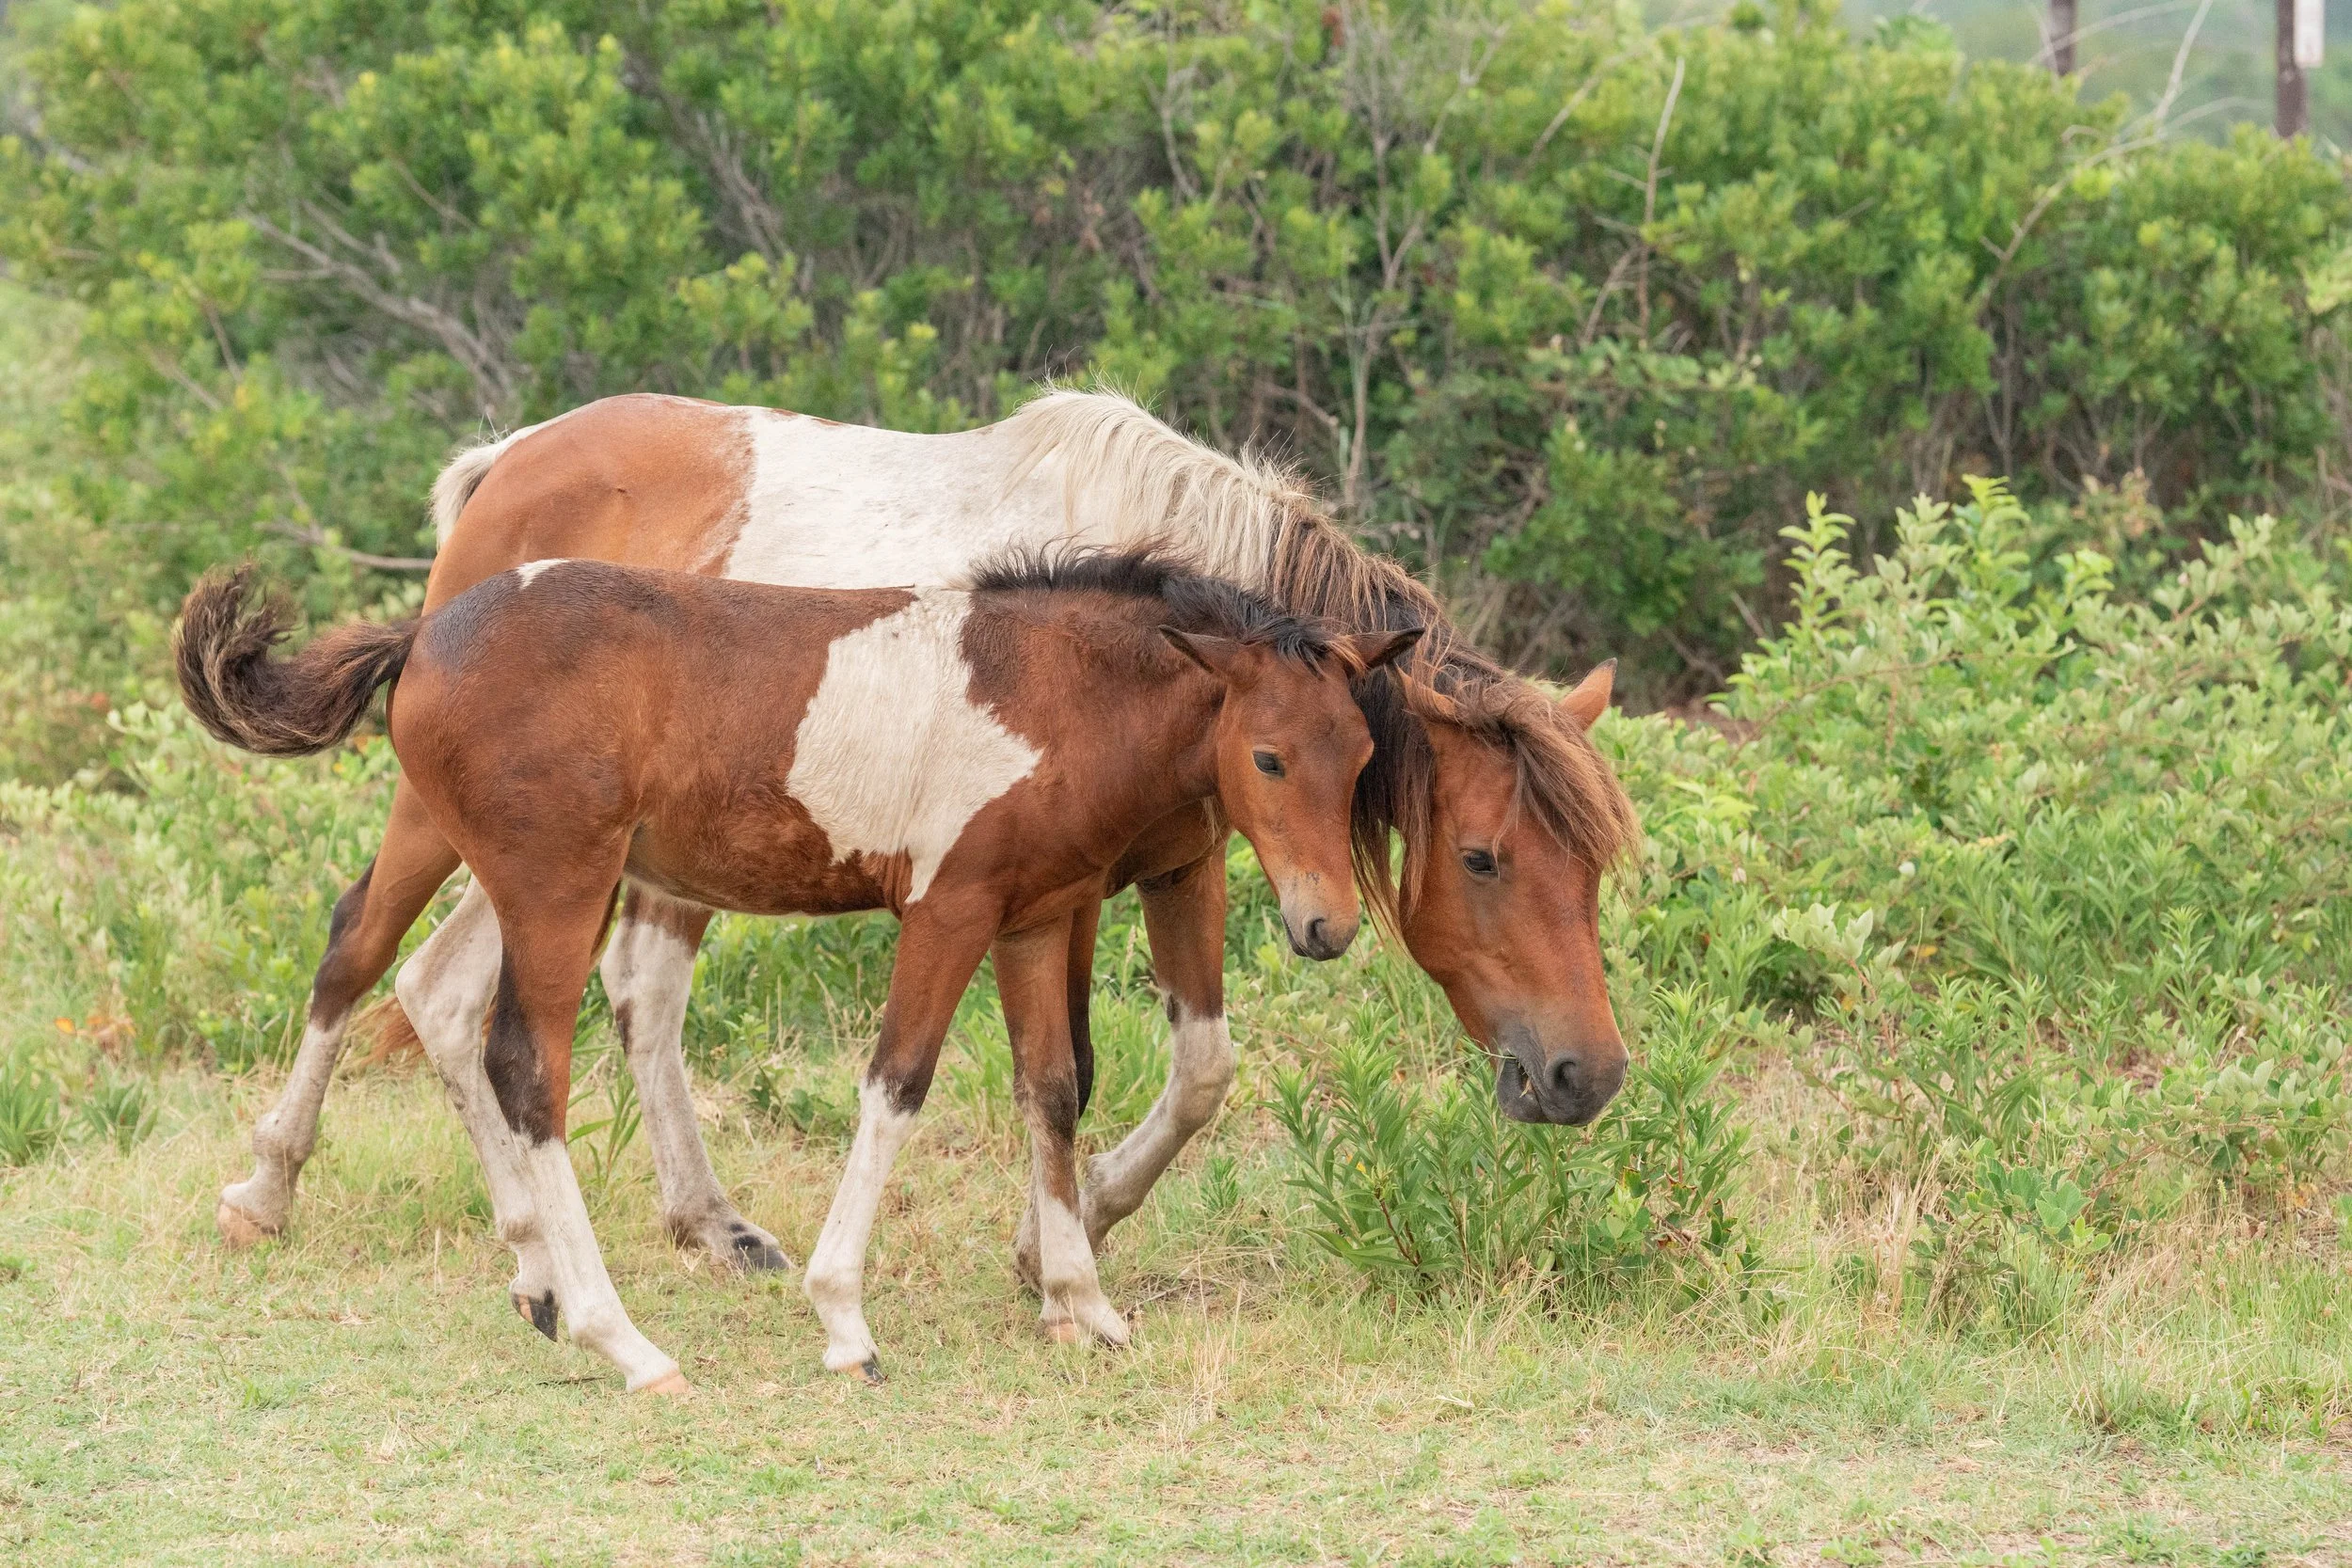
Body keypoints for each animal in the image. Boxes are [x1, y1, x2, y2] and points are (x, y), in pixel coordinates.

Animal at [177, 549, 1421, 1391]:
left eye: (1362, 753)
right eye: (1267, 756)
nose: (1326, 925)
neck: (1045, 692)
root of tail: (428, 633)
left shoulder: (1032, 918)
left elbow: (1053, 1090)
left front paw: (1082, 1302)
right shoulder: (948, 908)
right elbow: (897, 1085)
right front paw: (844, 1319)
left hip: (519, 874)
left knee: (428, 991)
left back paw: (530, 1273)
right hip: (556, 884)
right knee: (510, 1053)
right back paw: (615, 1335)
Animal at [210, 389, 1641, 1285]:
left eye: (1597, 874)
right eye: (1483, 858)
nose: (1585, 1075)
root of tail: (499, 467)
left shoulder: (1175, 862)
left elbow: (1194, 1069)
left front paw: (1079, 1223)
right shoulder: (1051, 882)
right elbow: (1070, 1065)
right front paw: (1059, 1239)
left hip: (580, 849)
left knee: (477, 992)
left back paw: (632, 1225)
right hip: (495, 830)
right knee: (367, 950)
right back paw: (269, 1187)